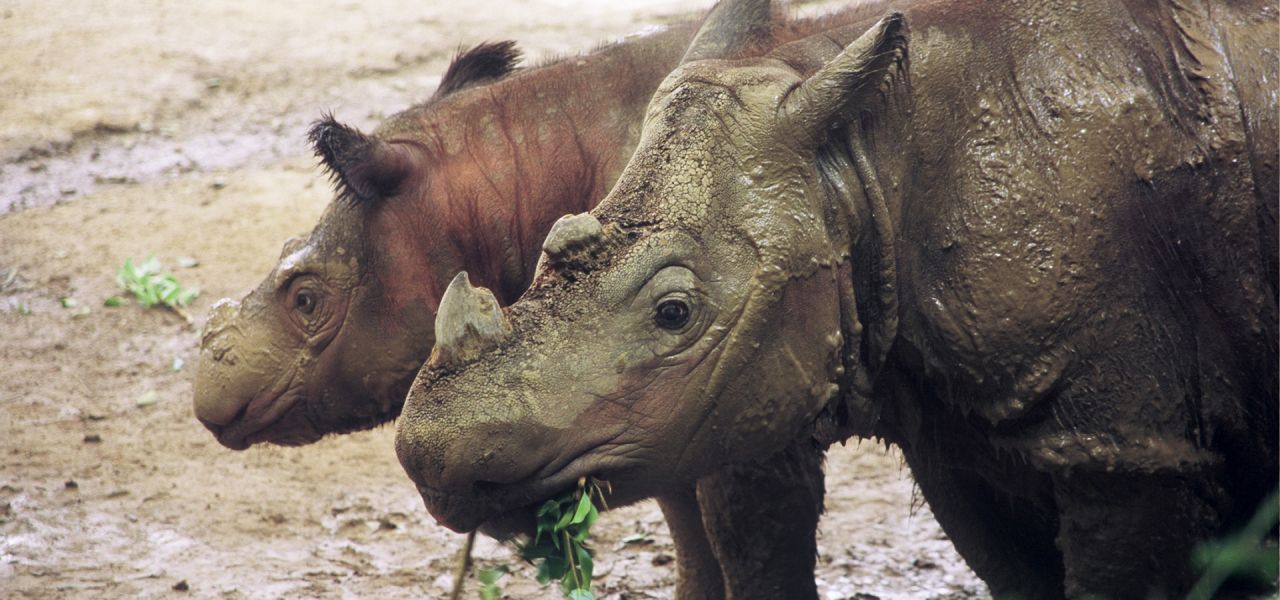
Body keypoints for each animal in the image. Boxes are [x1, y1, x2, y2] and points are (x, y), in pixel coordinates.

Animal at [191, 4, 907, 597]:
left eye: (307, 300)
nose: (210, 405)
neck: (509, 178)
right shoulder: (648, 403)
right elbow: (689, 535)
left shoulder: (736, 367)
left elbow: (746, 545)